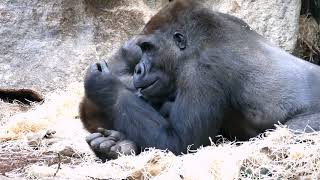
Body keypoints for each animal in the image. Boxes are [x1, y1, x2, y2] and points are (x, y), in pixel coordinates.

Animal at [79, 0, 320, 160]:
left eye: (149, 48)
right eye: (143, 49)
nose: (138, 70)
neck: (199, 42)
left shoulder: (202, 70)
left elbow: (179, 143)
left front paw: (105, 86)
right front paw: (117, 145)